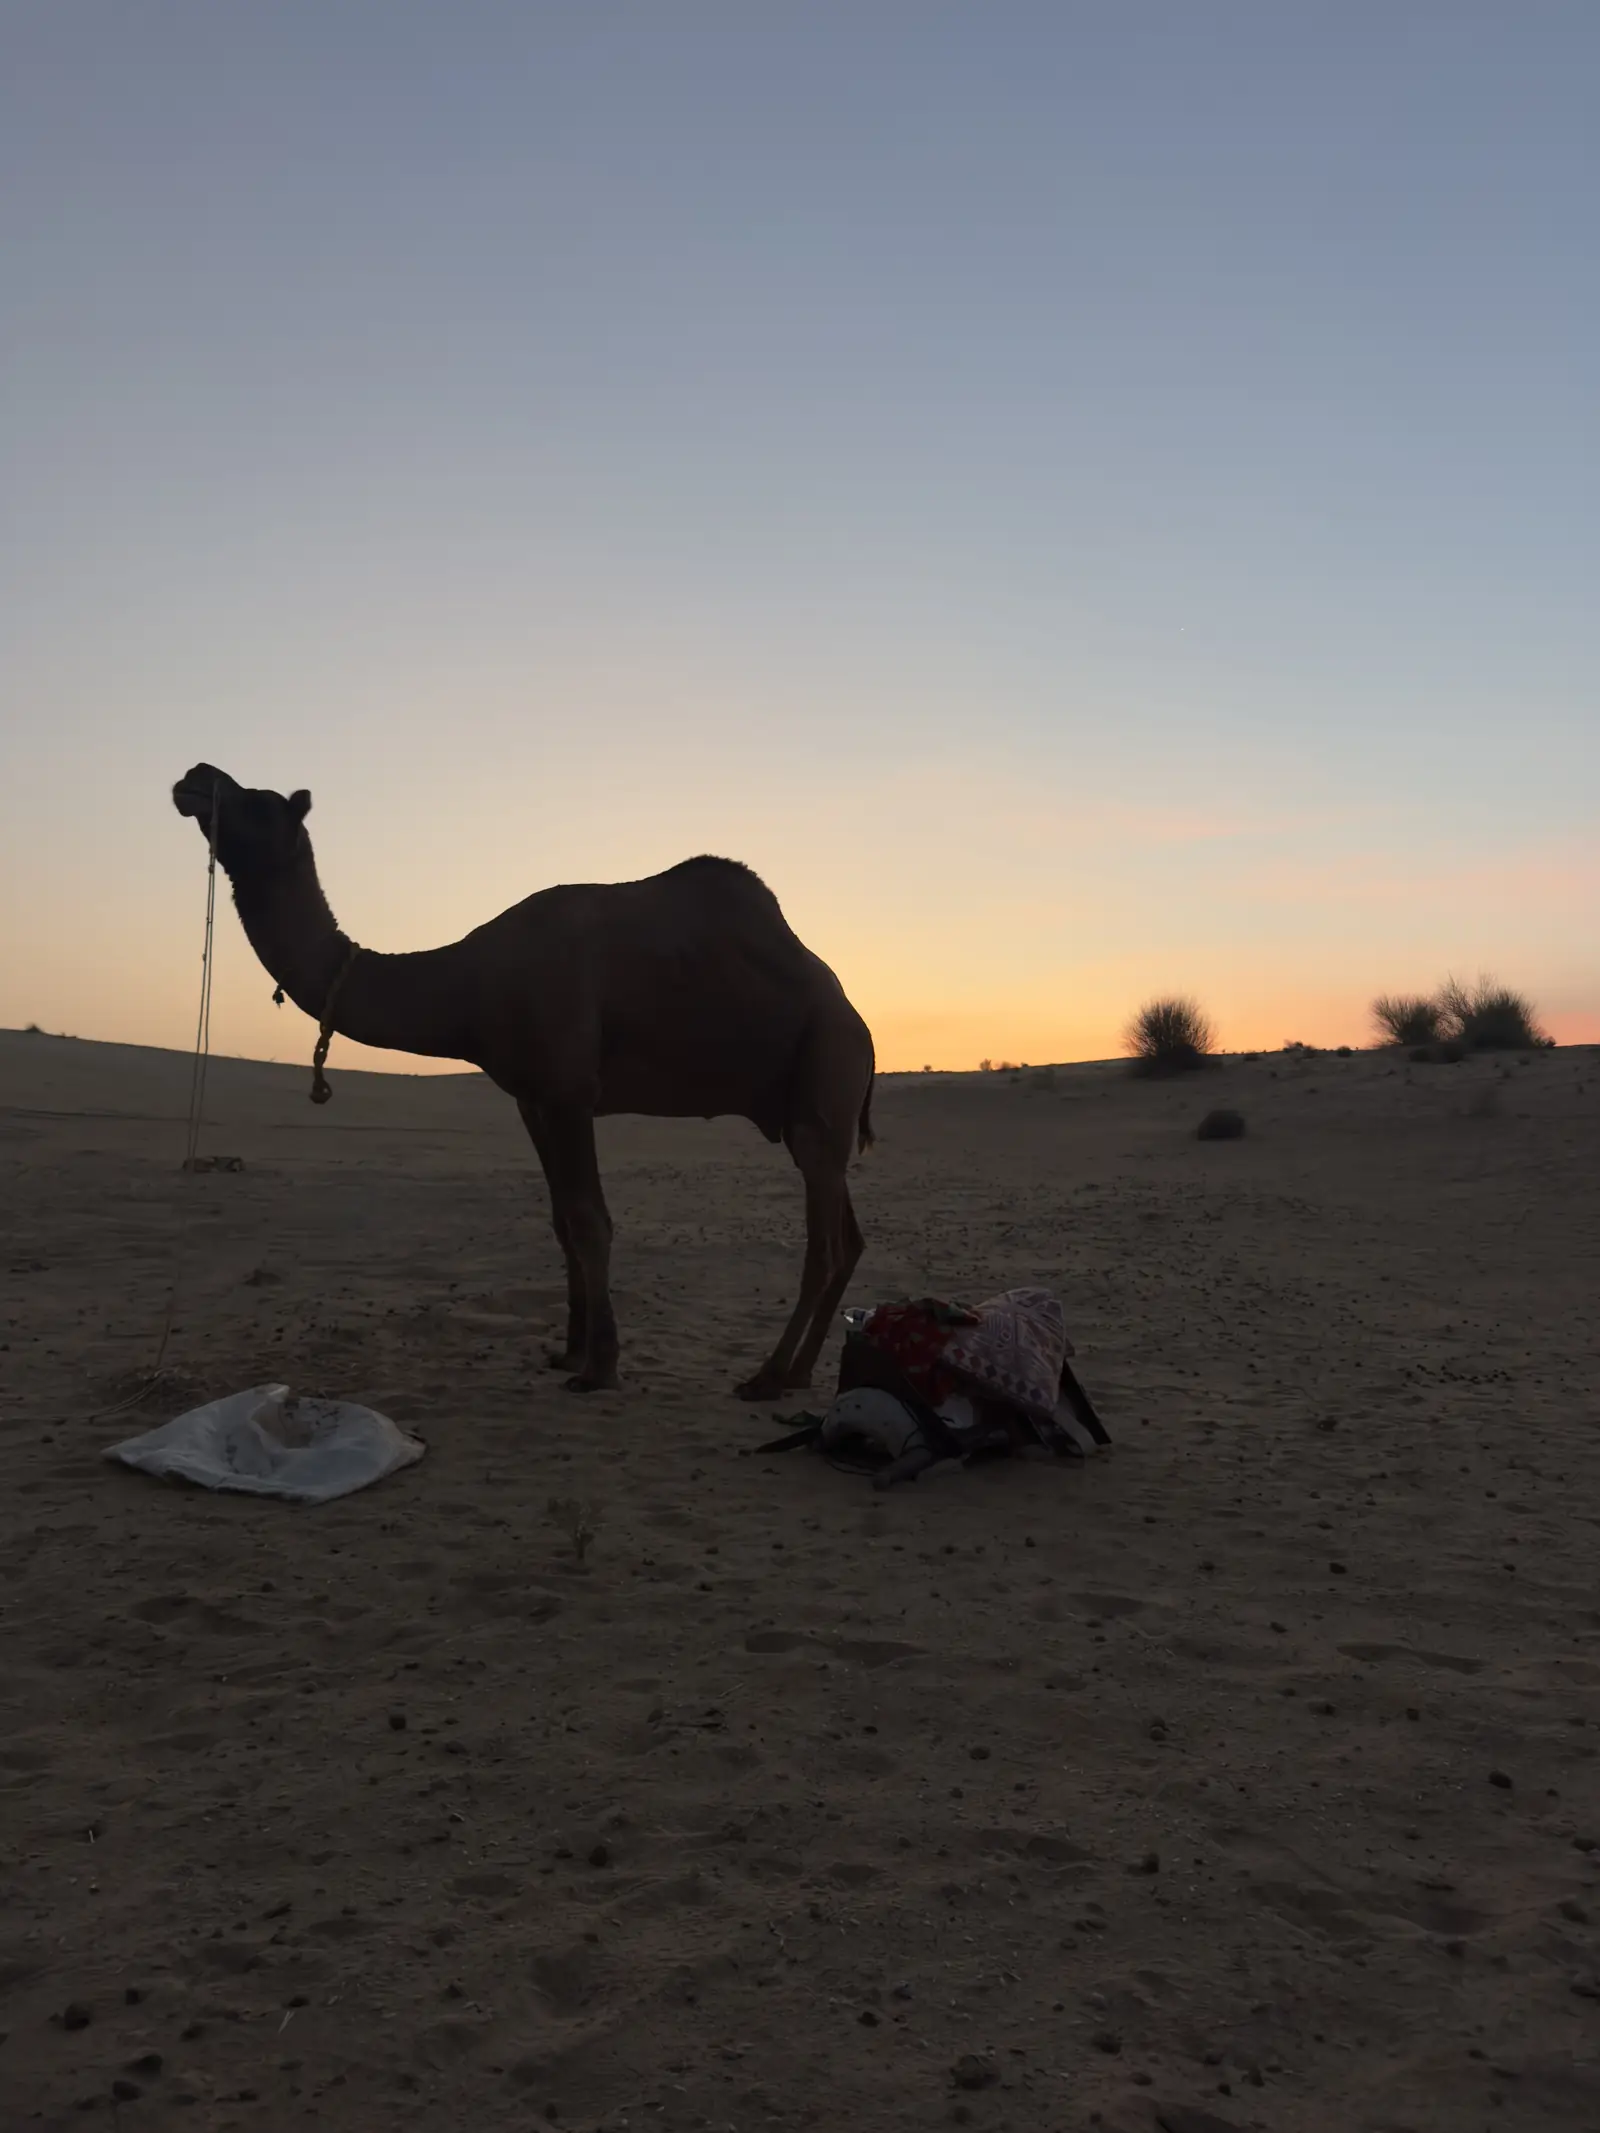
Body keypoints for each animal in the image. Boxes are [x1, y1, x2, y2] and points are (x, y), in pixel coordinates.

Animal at [172, 764, 874, 1398]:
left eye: (258, 804)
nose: (195, 777)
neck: (470, 984)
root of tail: (860, 1023)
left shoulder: (569, 1092)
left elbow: (591, 1220)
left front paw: (599, 1367)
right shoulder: (531, 1100)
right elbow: (562, 1220)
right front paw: (569, 1351)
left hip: (827, 1075)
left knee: (823, 1246)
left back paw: (769, 1376)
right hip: (808, 1112)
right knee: (849, 1239)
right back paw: (801, 1373)